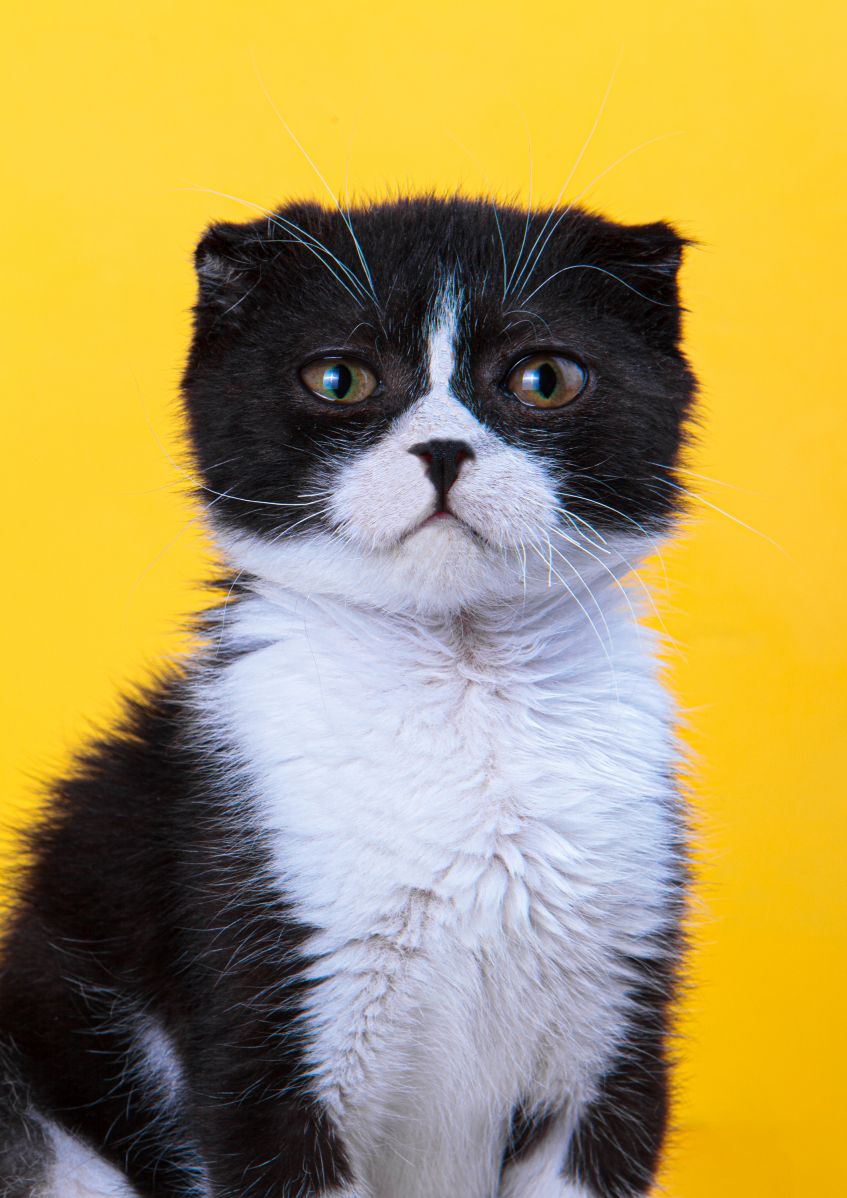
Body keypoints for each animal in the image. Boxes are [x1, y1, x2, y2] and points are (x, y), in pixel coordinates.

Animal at [0, 196, 694, 1198]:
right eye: (338, 377)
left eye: (544, 377)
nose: (442, 449)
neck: (464, 689)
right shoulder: (259, 993)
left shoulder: (616, 1013)